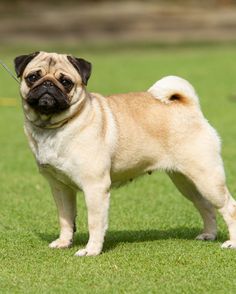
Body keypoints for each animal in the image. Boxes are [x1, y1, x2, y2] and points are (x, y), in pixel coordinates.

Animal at [14, 51, 236, 256]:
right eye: (32, 77)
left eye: (66, 82)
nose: (47, 85)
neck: (55, 127)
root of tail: (189, 106)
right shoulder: (60, 188)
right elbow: (65, 219)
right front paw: (64, 242)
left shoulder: (95, 187)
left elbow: (95, 222)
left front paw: (91, 250)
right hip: (186, 182)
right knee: (206, 206)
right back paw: (208, 234)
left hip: (207, 178)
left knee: (229, 208)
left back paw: (231, 243)